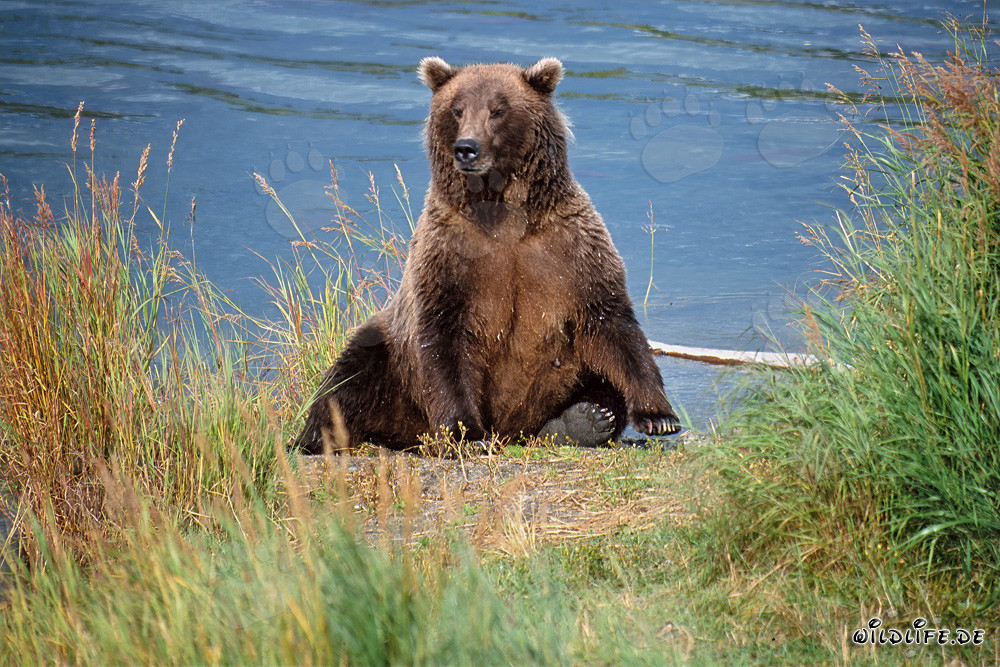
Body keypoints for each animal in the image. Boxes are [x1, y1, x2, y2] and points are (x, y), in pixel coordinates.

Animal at [292, 57, 680, 454]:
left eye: (498, 110)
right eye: (457, 109)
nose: (467, 147)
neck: (502, 213)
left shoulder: (570, 249)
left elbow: (611, 324)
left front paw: (658, 415)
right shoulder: (450, 257)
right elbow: (444, 343)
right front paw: (466, 432)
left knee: (599, 384)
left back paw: (585, 419)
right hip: (391, 360)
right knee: (349, 377)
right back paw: (319, 436)